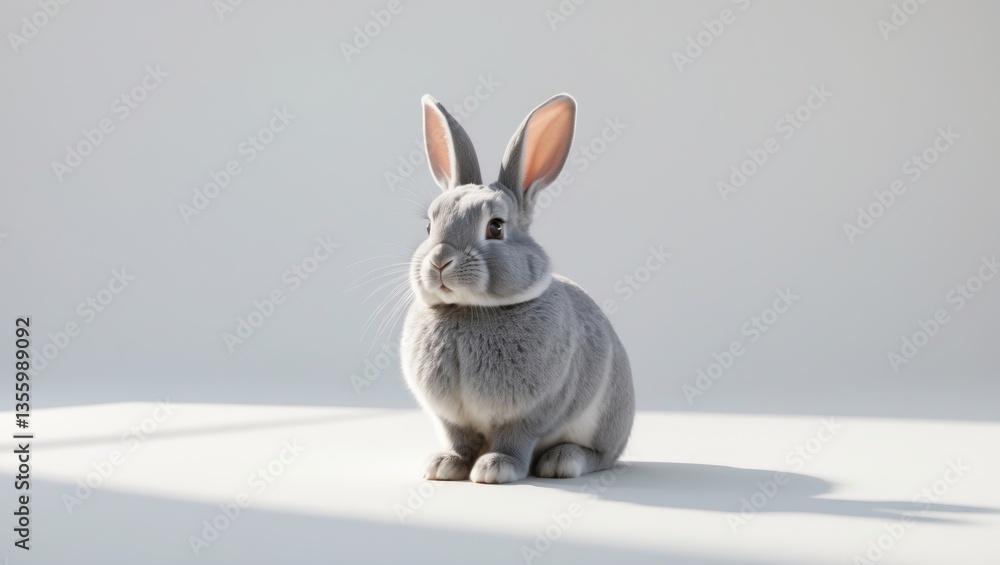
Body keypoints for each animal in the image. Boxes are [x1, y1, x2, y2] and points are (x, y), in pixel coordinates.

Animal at [400, 93, 635, 484]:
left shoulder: (532, 412)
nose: (440, 260)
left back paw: (562, 461)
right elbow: (457, 439)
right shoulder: (450, 417)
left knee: (601, 456)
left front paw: (496, 468)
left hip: (605, 421)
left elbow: (515, 439)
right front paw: (443, 466)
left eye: (495, 227)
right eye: (429, 227)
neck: (469, 311)